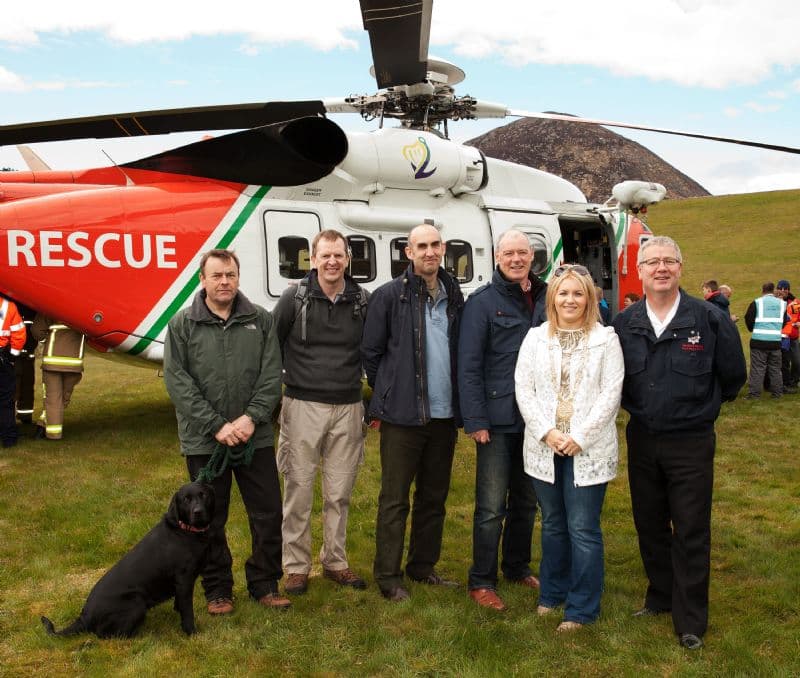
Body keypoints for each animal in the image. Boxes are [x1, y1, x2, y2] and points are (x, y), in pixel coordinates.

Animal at [39, 484, 216, 636]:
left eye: (203, 495)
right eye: (186, 499)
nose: (198, 511)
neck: (185, 531)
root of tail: (84, 616)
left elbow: (179, 605)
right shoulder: (184, 581)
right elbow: (187, 612)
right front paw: (191, 633)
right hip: (137, 602)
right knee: (106, 634)